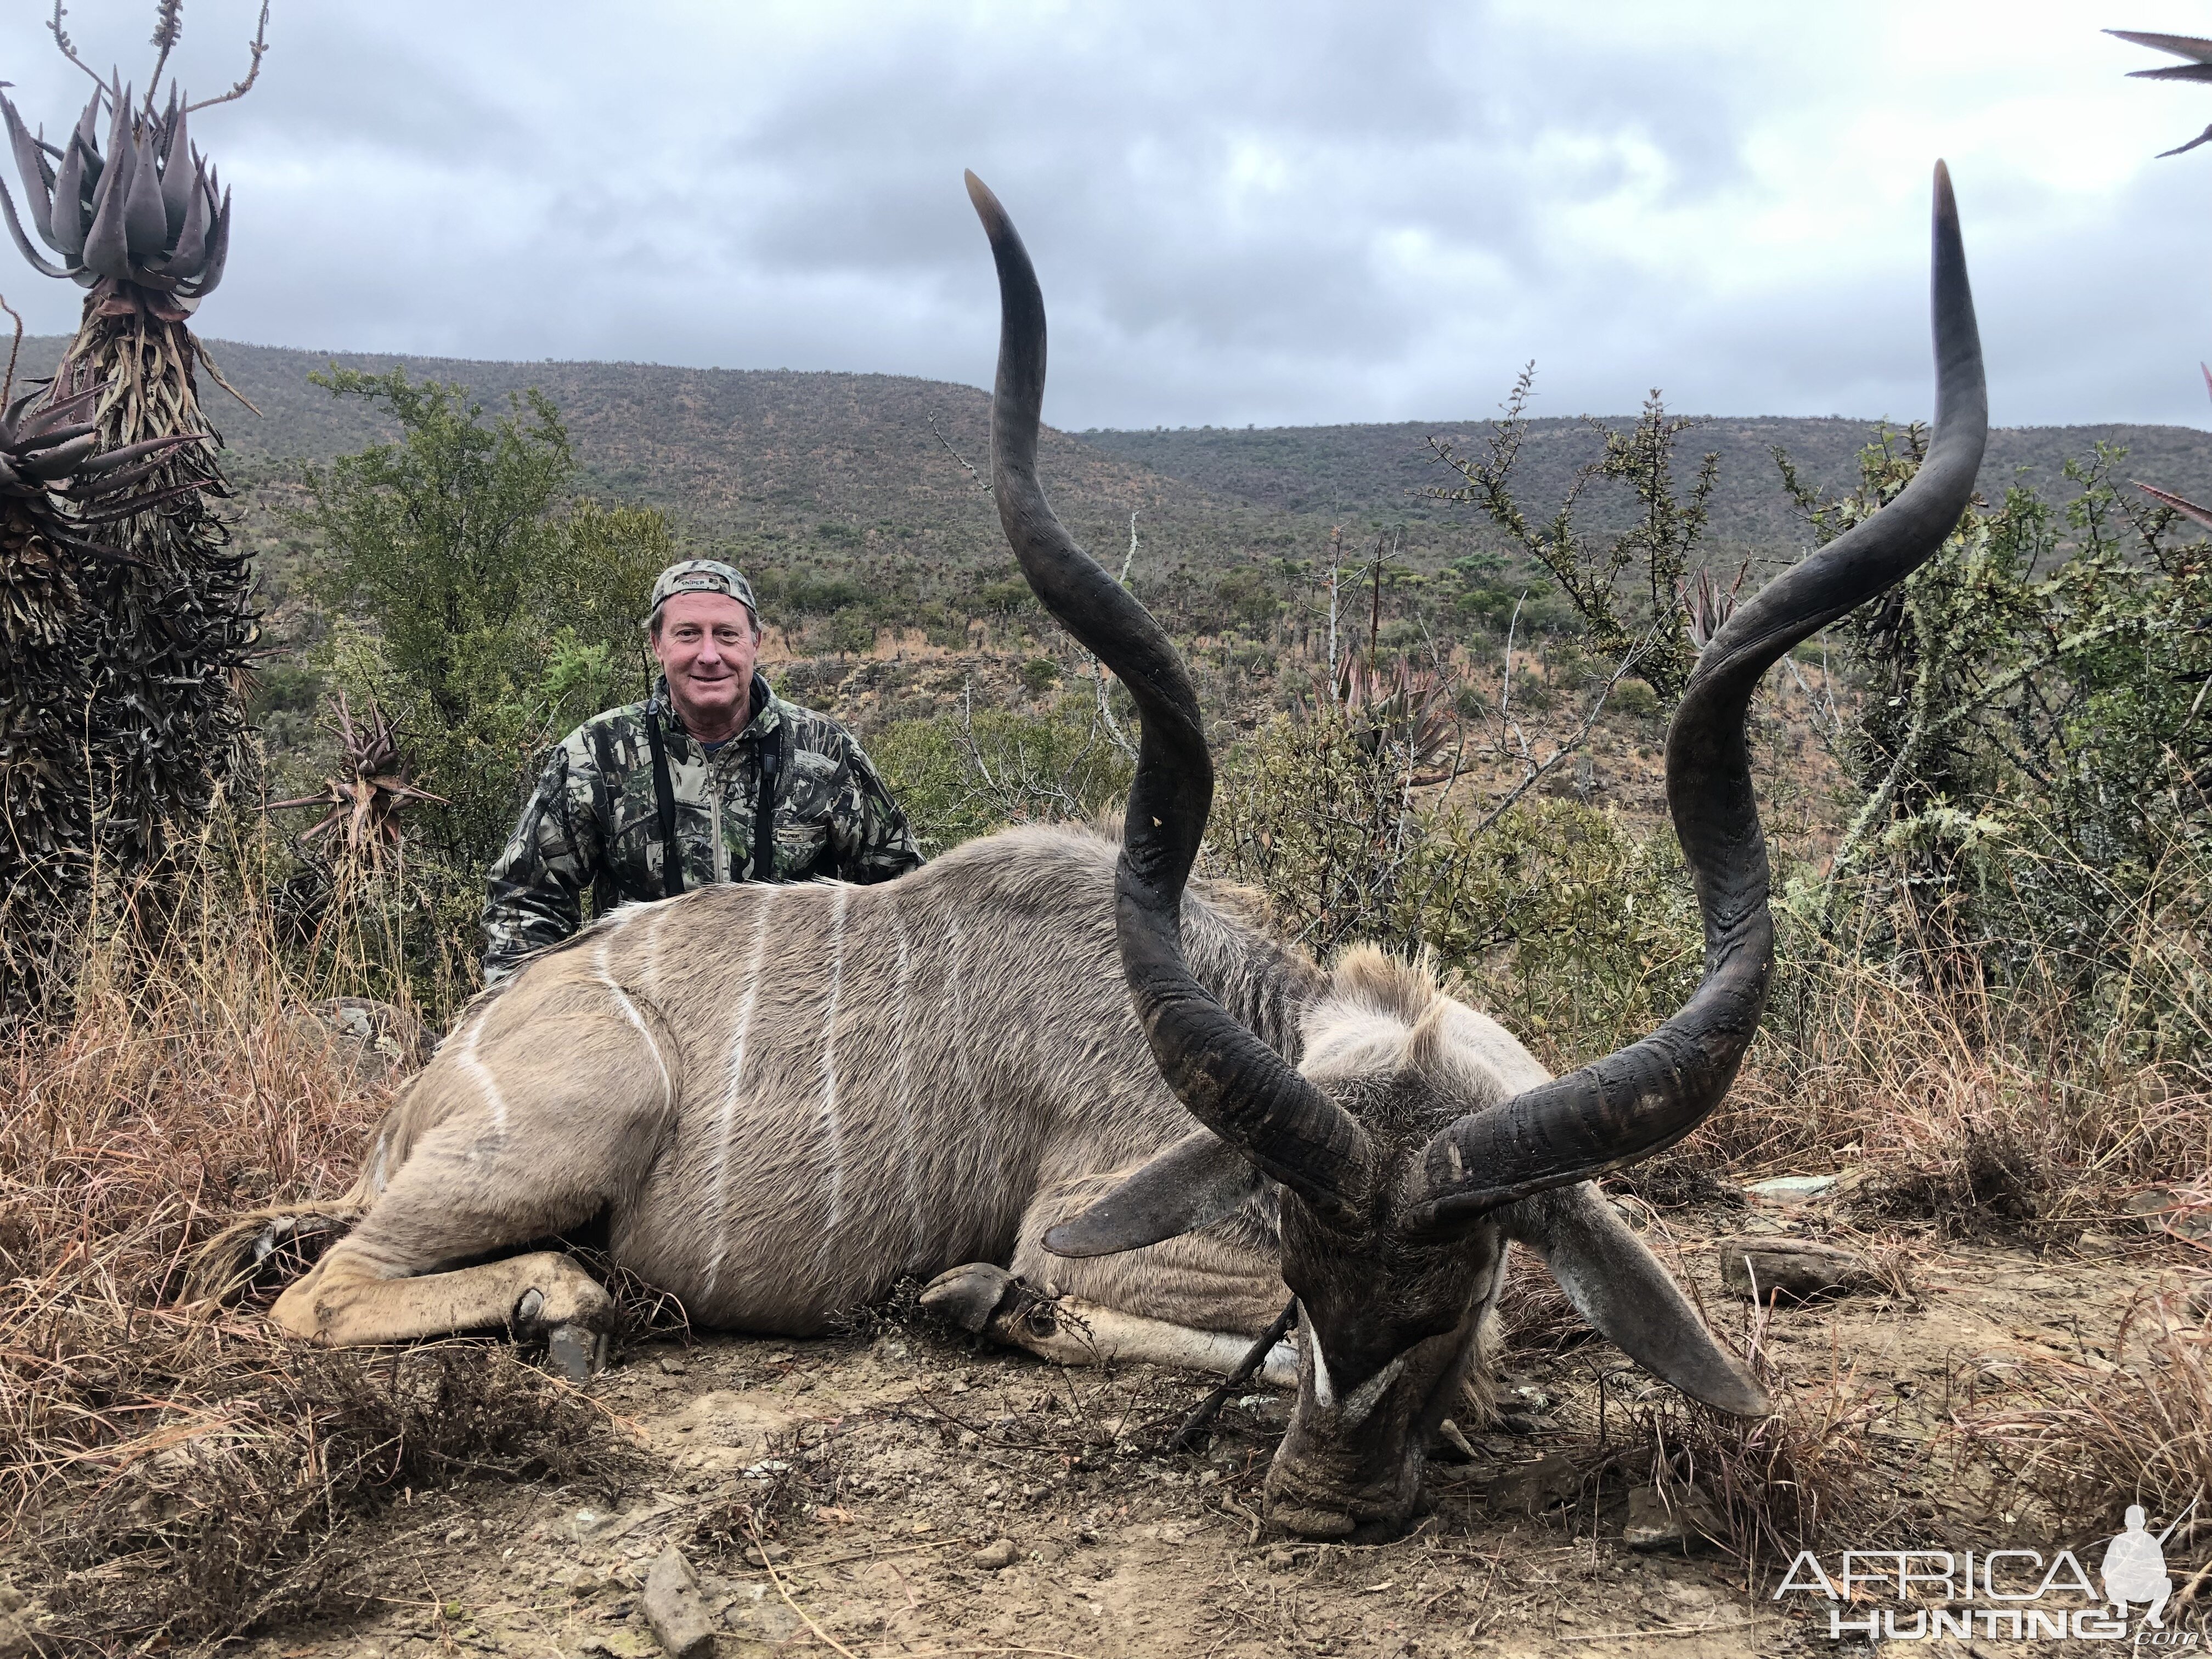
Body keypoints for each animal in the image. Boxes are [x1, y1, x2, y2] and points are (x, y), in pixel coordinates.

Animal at [220, 169, 1990, 1548]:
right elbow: (1089, 1300)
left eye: (1462, 1276)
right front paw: (980, 1304)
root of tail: (431, 1087)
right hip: (571, 1127)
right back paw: (565, 1307)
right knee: (320, 1297)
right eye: (1302, 1268)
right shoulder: (1105, 1225)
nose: (1325, 1504)